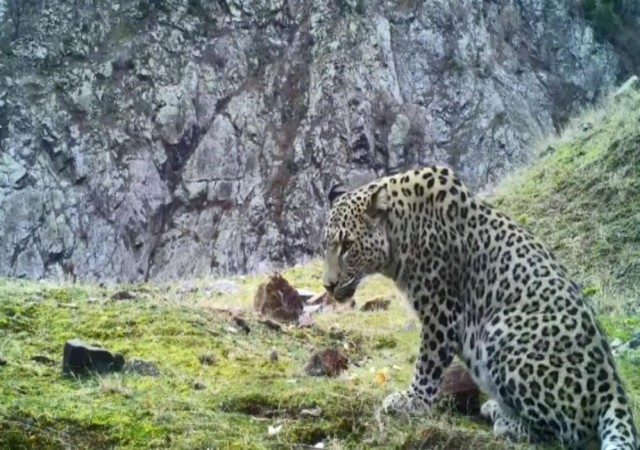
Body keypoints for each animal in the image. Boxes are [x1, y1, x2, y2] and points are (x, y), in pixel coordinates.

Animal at [322, 165, 636, 450]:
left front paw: (411, 401)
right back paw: (496, 410)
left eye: (348, 245)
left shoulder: (441, 311)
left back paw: (506, 422)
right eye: (326, 245)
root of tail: (615, 388)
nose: (327, 285)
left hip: (503, 334)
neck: (401, 231)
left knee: (567, 432)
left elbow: (427, 364)